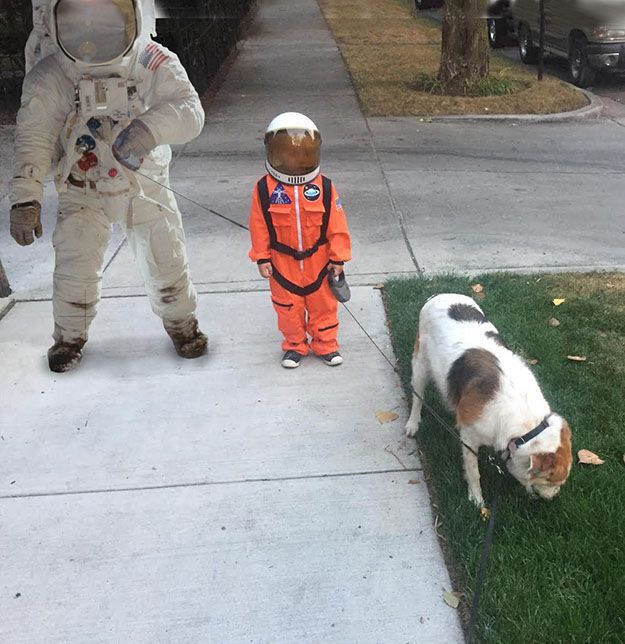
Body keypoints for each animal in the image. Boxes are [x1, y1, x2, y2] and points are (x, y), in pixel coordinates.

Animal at [404, 294, 572, 508]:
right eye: (552, 481)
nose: (554, 497)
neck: (528, 427)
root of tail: (438, 295)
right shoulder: (469, 438)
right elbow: (474, 473)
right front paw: (477, 500)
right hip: (421, 364)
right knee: (417, 396)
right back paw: (412, 424)